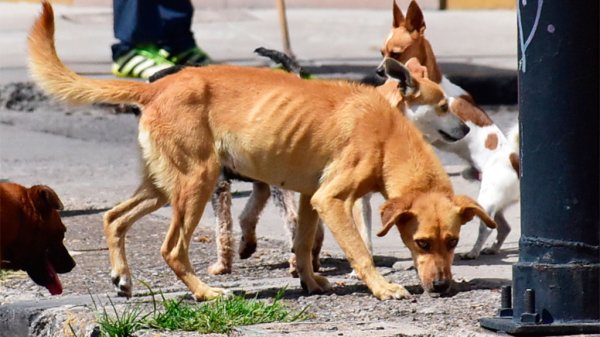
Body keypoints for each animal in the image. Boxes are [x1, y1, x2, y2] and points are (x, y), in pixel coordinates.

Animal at [28, 2, 494, 300]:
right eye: (421, 242)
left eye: (453, 241)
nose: (442, 288)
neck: (386, 131)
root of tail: (156, 87)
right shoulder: (332, 199)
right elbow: (360, 251)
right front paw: (382, 288)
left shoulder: (309, 198)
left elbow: (304, 245)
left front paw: (311, 282)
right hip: (197, 183)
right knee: (171, 249)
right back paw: (206, 293)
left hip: (164, 187)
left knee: (113, 218)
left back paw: (123, 277)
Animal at [384, 0, 520, 258]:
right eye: (381, 52)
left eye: (395, 53)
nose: (379, 70)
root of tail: (514, 160)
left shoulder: (441, 133)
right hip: (495, 202)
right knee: (503, 227)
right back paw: (493, 248)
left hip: (487, 198)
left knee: (486, 228)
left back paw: (474, 251)